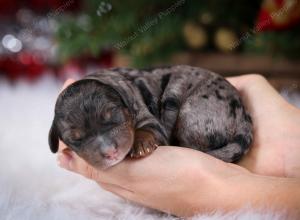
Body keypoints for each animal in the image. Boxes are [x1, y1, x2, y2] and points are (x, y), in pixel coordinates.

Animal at [49, 64, 253, 169]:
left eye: (114, 116)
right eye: (76, 139)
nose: (110, 152)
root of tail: (243, 115)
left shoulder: (150, 119)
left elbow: (148, 128)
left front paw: (140, 145)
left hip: (192, 113)